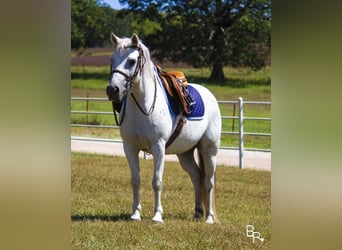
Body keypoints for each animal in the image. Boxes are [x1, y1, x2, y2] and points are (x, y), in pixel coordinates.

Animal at [108, 33, 223, 225]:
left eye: (132, 61)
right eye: (112, 59)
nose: (112, 90)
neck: (143, 106)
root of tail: (209, 95)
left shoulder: (158, 147)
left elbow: (157, 181)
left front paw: (157, 216)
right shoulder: (129, 147)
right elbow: (136, 180)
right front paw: (135, 214)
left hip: (209, 149)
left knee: (209, 181)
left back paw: (209, 217)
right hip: (185, 154)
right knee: (197, 177)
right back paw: (197, 213)